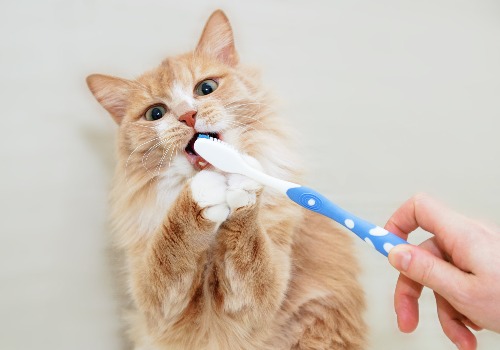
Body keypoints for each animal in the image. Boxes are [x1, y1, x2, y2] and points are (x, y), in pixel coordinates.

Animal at [87, 9, 368, 348]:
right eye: (155, 113)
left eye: (205, 88)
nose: (188, 116)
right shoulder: (156, 302)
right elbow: (171, 244)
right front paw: (201, 195)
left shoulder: (264, 290)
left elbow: (249, 246)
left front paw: (238, 182)